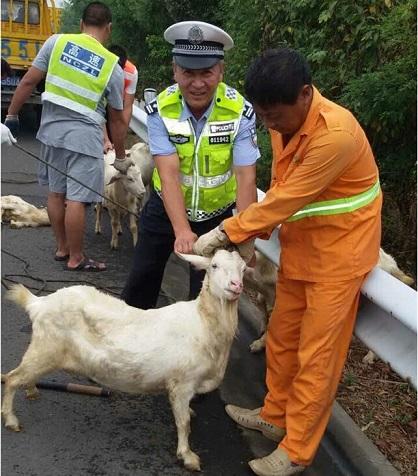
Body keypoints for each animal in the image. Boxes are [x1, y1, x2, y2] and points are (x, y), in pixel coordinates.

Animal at [2, 249, 245, 472]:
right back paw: (11, 420)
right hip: (45, 348)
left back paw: (31, 390)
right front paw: (187, 456)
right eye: (214, 265)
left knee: (24, 375)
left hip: (44, 350)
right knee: (12, 378)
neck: (203, 322)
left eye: (243, 269)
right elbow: (183, 423)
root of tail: (38, 303)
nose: (236, 285)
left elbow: (184, 416)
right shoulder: (182, 383)